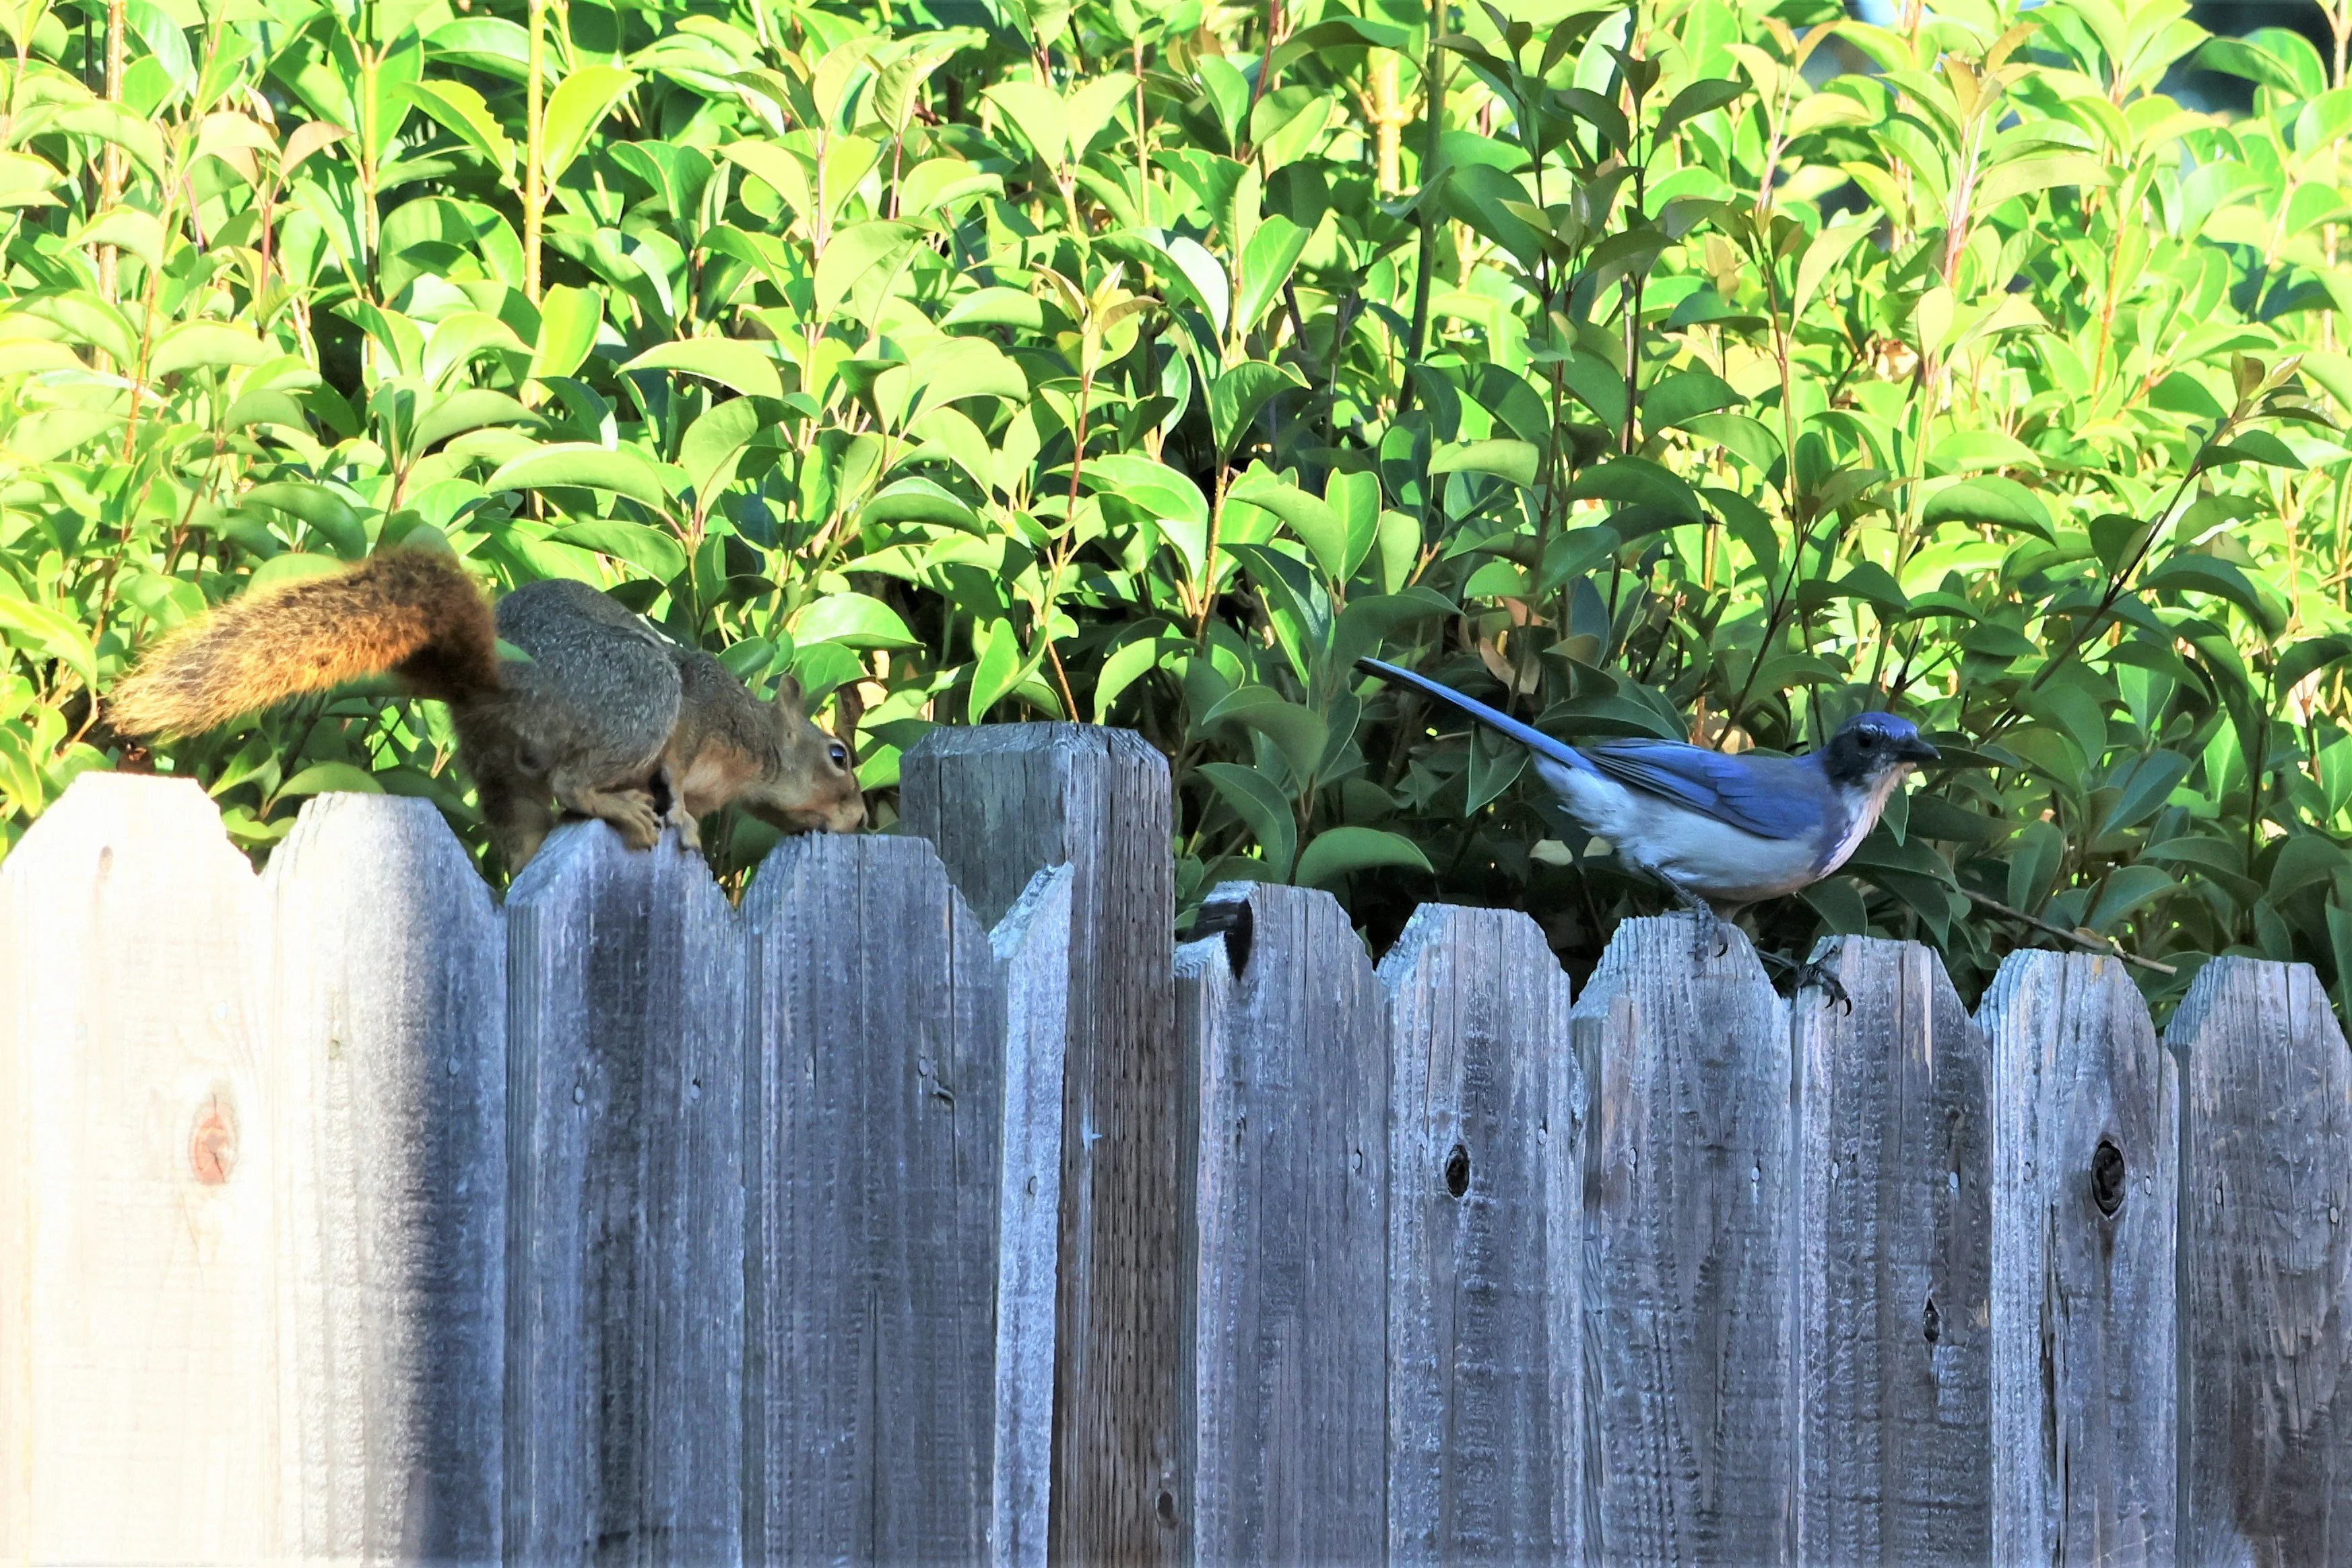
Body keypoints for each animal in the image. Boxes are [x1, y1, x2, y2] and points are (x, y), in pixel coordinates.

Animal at [107, 548, 866, 871]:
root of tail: (497, 678)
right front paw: (681, 815)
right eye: (838, 755)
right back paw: (621, 806)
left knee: (525, 835)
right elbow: (678, 773)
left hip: (498, 769)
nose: (862, 819)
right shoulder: (702, 712)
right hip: (640, 696)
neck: (758, 747)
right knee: (575, 782)